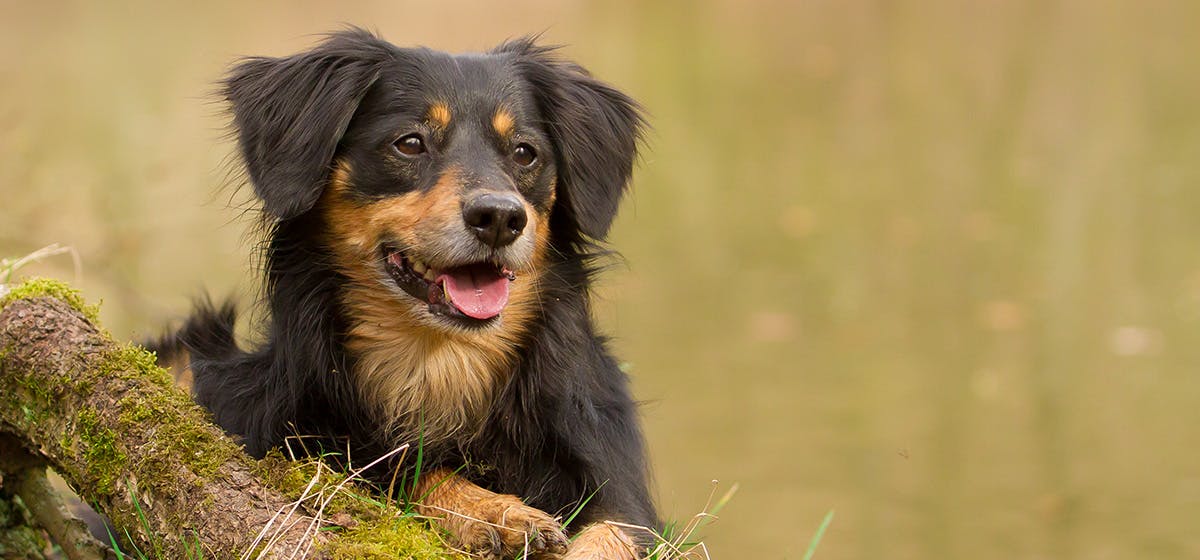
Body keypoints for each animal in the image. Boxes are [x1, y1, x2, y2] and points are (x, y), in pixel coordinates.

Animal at [152, 27, 657, 560]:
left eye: (524, 153)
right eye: (410, 144)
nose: (500, 217)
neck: (439, 358)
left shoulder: (617, 489)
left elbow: (614, 533)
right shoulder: (306, 440)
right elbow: (404, 470)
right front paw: (498, 512)